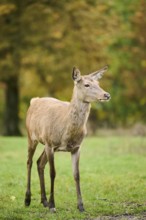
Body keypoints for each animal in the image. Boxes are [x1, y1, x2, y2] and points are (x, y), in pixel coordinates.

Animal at [24, 65, 110, 211]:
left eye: (98, 83)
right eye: (86, 84)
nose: (106, 95)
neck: (67, 131)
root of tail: (34, 100)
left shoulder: (76, 147)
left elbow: (77, 174)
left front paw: (81, 206)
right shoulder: (50, 144)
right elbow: (53, 173)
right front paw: (53, 206)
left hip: (45, 143)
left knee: (39, 163)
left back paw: (44, 201)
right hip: (32, 136)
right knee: (29, 162)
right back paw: (28, 200)